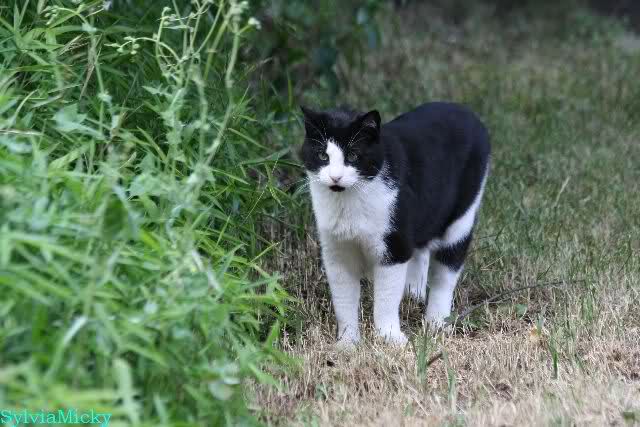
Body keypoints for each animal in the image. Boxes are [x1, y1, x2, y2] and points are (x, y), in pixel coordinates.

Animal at [300, 102, 490, 347]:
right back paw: (412, 295)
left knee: (447, 270)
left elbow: (386, 296)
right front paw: (347, 342)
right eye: (323, 155)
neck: (349, 203)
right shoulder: (336, 249)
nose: (335, 177)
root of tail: (466, 111)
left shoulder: (394, 244)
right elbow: (343, 298)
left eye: (353, 155)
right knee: (421, 249)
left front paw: (390, 337)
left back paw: (437, 321)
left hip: (462, 213)